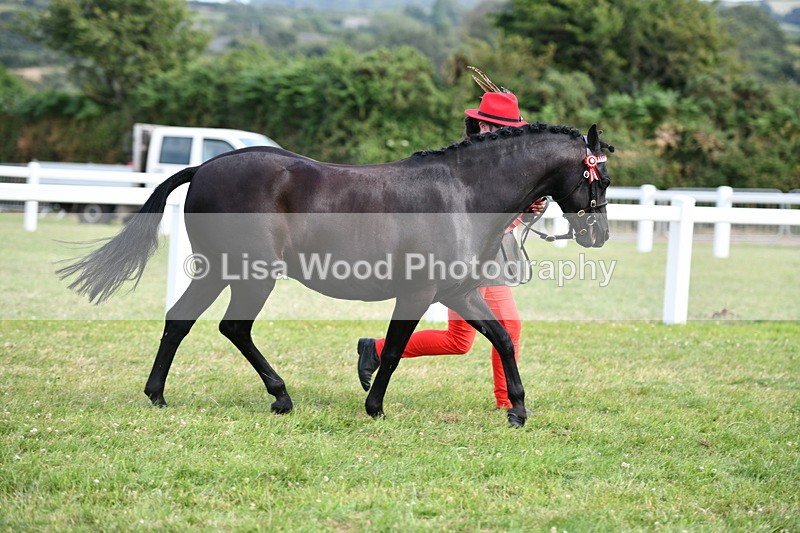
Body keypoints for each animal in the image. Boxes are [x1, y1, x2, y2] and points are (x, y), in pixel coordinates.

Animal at [57, 122, 613, 427]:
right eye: (601, 177)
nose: (600, 235)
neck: (463, 192)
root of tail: (206, 168)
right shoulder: (418, 292)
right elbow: (394, 349)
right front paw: (374, 407)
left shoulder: (458, 291)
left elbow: (501, 337)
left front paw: (517, 410)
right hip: (251, 274)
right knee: (232, 327)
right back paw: (280, 396)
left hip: (216, 271)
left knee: (179, 321)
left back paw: (157, 394)